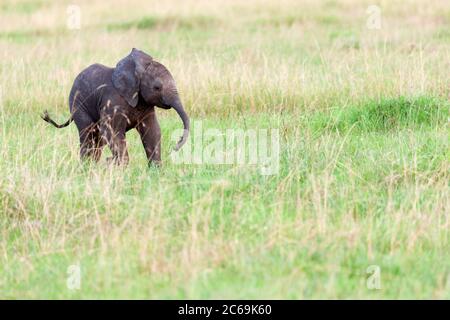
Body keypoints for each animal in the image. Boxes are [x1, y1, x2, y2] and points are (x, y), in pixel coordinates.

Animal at [40, 49, 190, 168]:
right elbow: (112, 131)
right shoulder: (113, 102)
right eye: (157, 87)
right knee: (88, 135)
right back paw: (86, 168)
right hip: (78, 105)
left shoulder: (146, 105)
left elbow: (152, 131)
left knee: (98, 139)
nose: (176, 145)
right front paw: (117, 167)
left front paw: (155, 170)